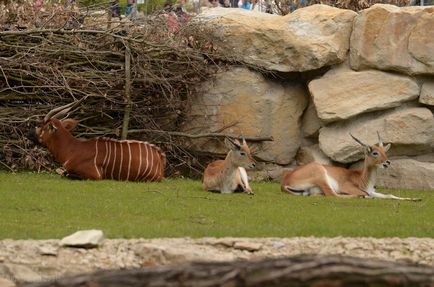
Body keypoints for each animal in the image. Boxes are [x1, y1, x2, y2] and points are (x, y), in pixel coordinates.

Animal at [27, 99, 165, 182]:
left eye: (41, 126)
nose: (29, 134)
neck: (73, 149)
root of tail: (160, 157)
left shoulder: (95, 175)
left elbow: (64, 173)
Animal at [282, 134, 420, 201]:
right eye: (375, 152)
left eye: (384, 151)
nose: (387, 162)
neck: (362, 179)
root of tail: (285, 182)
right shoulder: (349, 187)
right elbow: (367, 194)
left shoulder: (372, 190)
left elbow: (389, 195)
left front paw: (416, 198)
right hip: (321, 175)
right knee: (333, 195)